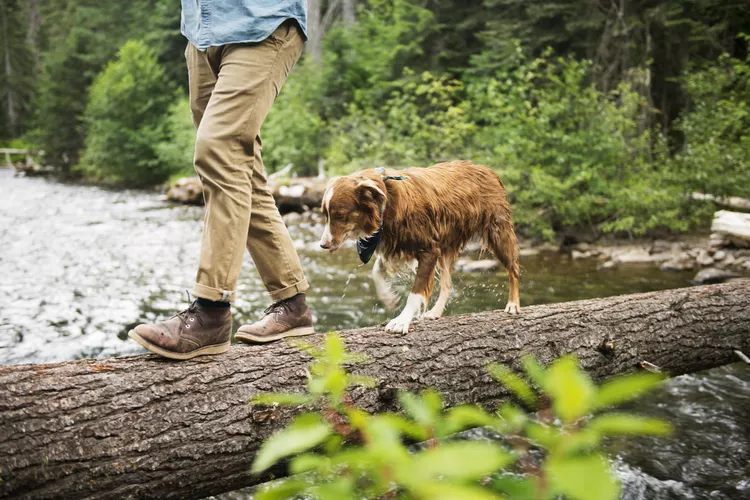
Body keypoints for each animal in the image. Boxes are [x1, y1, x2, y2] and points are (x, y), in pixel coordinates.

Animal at [318, 160, 524, 332]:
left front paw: (402, 320)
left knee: (513, 269)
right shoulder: (397, 245)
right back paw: (436, 312)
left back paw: (513, 304)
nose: (323, 244)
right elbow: (377, 271)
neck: (387, 203)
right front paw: (388, 297)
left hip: (498, 231)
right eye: (325, 215)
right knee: (447, 283)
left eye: (340, 215)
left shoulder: (429, 250)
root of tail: (488, 169)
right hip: (447, 246)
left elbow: (415, 291)